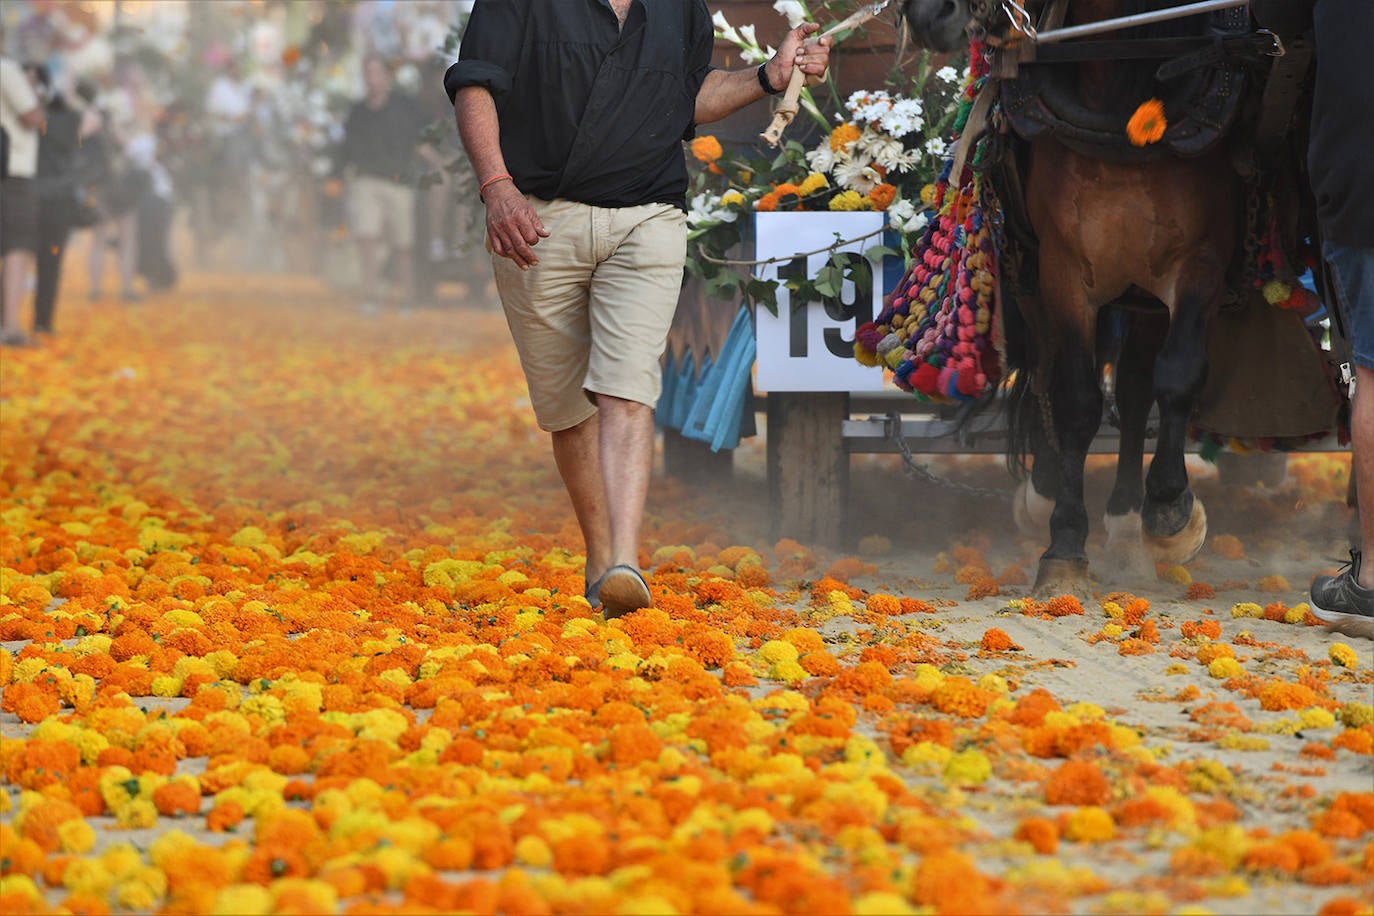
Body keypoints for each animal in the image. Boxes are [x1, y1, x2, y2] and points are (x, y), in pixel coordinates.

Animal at [901, 0, 1297, 596]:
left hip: (1143, 297)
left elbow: (1176, 376)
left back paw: (1131, 526)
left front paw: (1168, 505)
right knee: (1047, 372)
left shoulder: (1195, 265)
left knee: (1135, 392)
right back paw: (1046, 489)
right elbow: (1075, 399)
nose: (925, 15)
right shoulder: (1064, 272)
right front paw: (1064, 546)